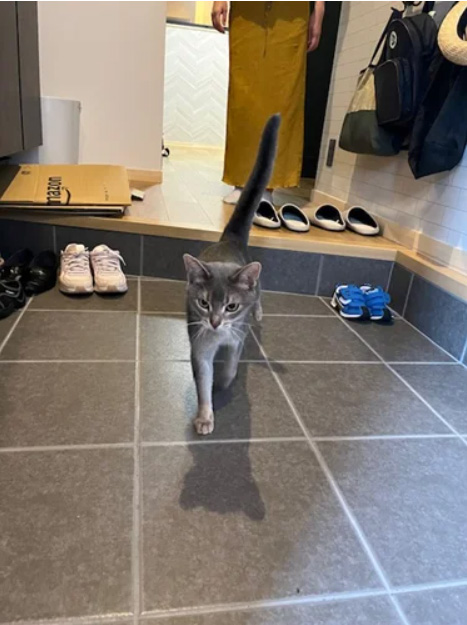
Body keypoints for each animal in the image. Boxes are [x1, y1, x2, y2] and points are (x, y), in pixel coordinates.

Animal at [183, 114, 280, 435]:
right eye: (203, 303)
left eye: (232, 306)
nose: (214, 322)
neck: (218, 336)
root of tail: (229, 238)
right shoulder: (199, 344)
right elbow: (203, 380)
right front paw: (204, 416)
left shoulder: (238, 336)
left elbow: (230, 364)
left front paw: (225, 382)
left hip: (256, 281)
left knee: (260, 290)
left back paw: (260, 311)